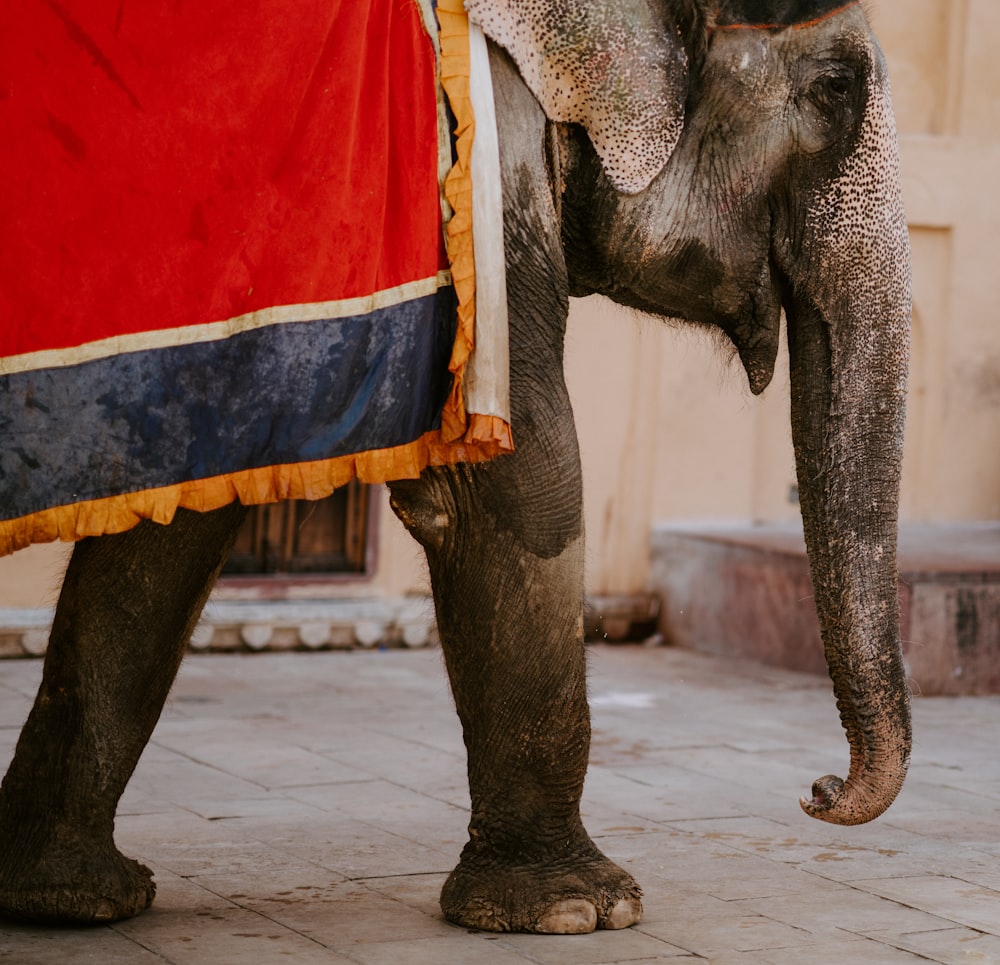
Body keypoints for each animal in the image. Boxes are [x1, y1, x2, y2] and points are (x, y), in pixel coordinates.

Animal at [0, 0, 912, 936]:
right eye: (835, 90)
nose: (818, 789)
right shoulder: (472, 171)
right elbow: (526, 475)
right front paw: (579, 909)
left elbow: (186, 491)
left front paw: (71, 899)